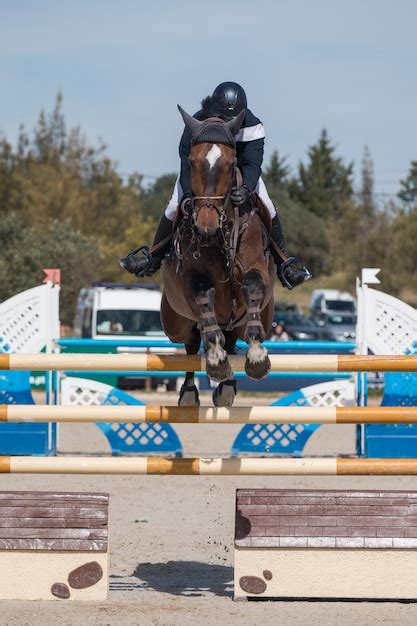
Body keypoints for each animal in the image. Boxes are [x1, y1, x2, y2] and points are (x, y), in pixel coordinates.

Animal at [159, 105, 276, 408]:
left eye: (230, 162)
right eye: (191, 161)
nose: (205, 228)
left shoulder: (256, 268)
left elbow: (252, 287)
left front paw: (257, 359)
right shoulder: (192, 279)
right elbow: (204, 297)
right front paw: (216, 362)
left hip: (258, 316)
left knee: (234, 338)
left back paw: (227, 388)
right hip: (174, 322)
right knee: (191, 343)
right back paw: (191, 392)